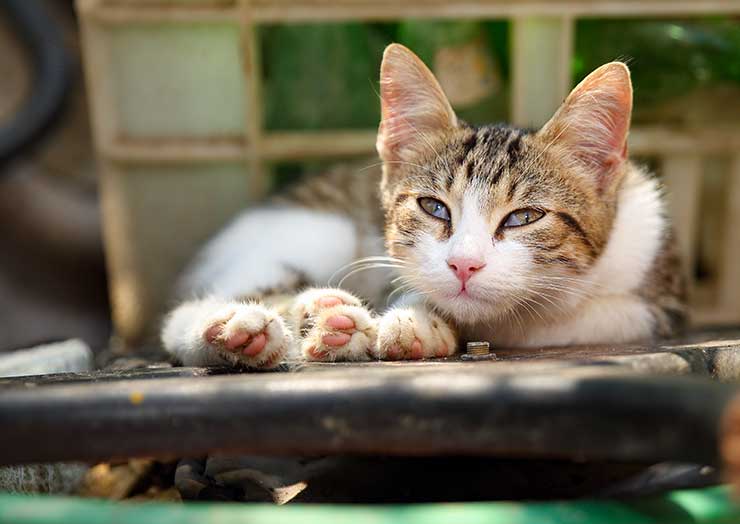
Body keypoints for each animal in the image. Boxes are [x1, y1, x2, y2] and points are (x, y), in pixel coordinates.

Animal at [162, 44, 688, 368]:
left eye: (525, 217)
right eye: (435, 208)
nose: (463, 265)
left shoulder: (659, 301)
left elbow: (545, 318)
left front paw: (425, 322)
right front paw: (416, 315)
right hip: (311, 231)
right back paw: (243, 326)